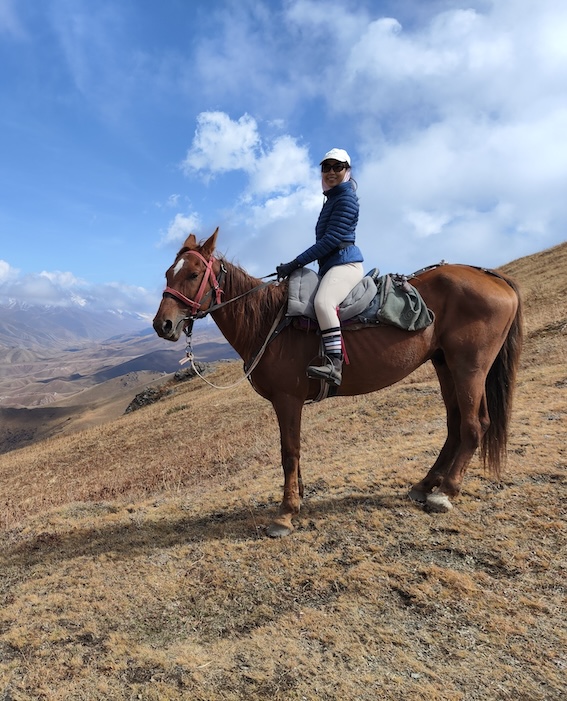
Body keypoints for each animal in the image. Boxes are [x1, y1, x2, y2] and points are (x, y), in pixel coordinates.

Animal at [152, 230, 524, 536]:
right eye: (169, 274)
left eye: (194, 274)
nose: (162, 325)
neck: (270, 323)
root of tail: (492, 276)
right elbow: (292, 452)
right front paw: (297, 498)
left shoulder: (287, 399)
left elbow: (289, 451)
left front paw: (286, 513)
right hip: (445, 364)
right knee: (455, 424)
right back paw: (426, 484)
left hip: (470, 367)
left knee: (475, 425)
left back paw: (446, 492)